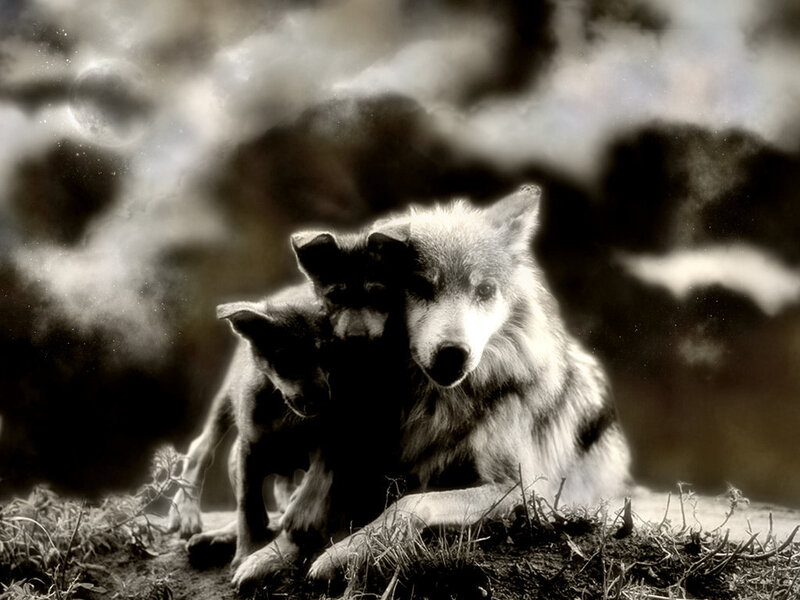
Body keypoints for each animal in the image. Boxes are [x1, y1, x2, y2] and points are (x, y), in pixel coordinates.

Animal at [308, 185, 632, 579]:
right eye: (421, 286)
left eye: (485, 290)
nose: (453, 353)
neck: (442, 403)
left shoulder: (521, 488)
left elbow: (410, 503)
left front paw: (344, 551)